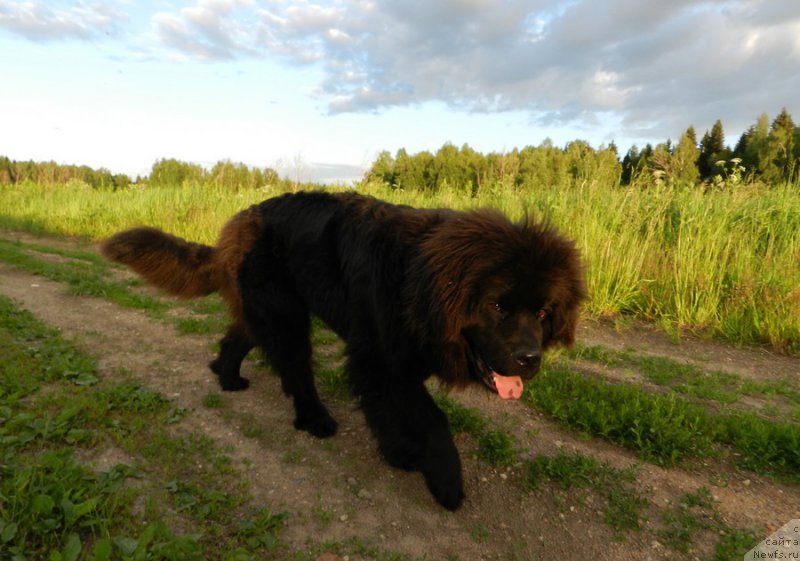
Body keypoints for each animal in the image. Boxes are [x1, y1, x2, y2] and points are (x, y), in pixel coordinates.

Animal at [103, 190, 584, 510]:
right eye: (498, 305)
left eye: (543, 312)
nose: (529, 359)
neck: (420, 282)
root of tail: (241, 217)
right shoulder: (380, 356)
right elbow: (428, 418)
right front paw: (443, 480)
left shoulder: (399, 361)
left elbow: (391, 410)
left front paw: (399, 453)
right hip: (286, 315)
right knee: (295, 370)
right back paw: (314, 419)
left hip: (271, 310)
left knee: (240, 336)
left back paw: (227, 375)